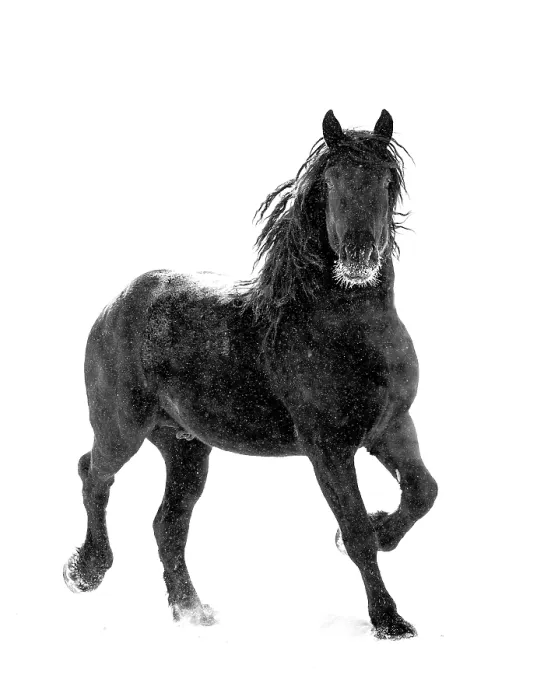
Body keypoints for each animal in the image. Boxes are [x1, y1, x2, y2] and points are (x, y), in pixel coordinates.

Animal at [63, 109, 438, 640]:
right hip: (122, 429)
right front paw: (390, 621)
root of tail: (115, 304)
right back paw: (85, 571)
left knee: (167, 524)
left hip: (185, 447)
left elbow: (422, 492)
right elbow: (356, 531)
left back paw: (193, 610)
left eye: (387, 180)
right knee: (93, 475)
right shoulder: (327, 448)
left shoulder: (391, 427)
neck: (350, 333)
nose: (359, 256)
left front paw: (385, 532)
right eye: (331, 180)